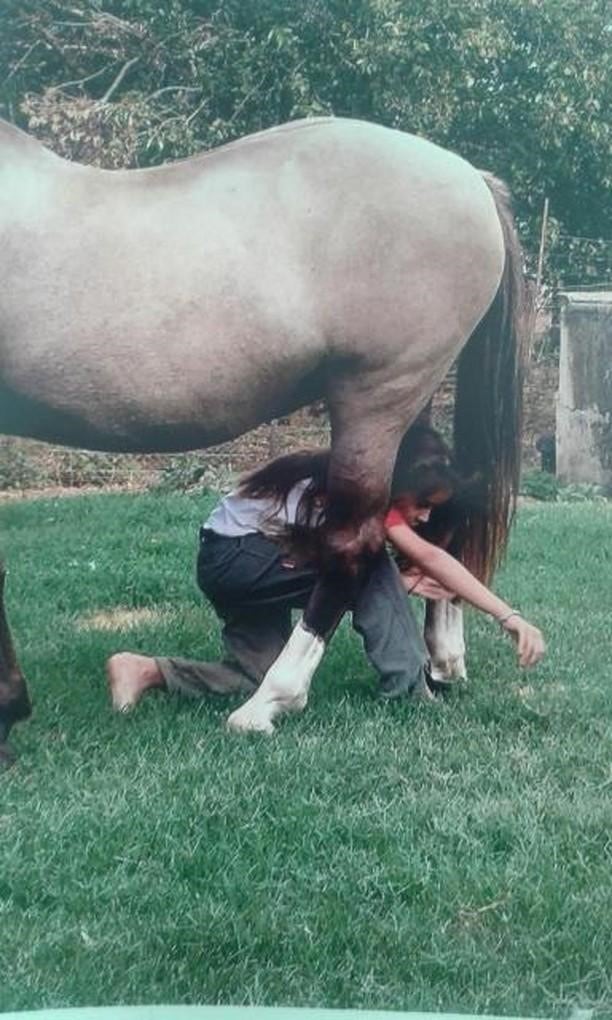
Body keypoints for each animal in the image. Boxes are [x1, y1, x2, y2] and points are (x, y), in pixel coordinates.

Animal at [0, 115, 526, 762]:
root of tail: (468, 176)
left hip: (376, 396)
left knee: (353, 545)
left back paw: (269, 702)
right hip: (410, 402)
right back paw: (442, 662)